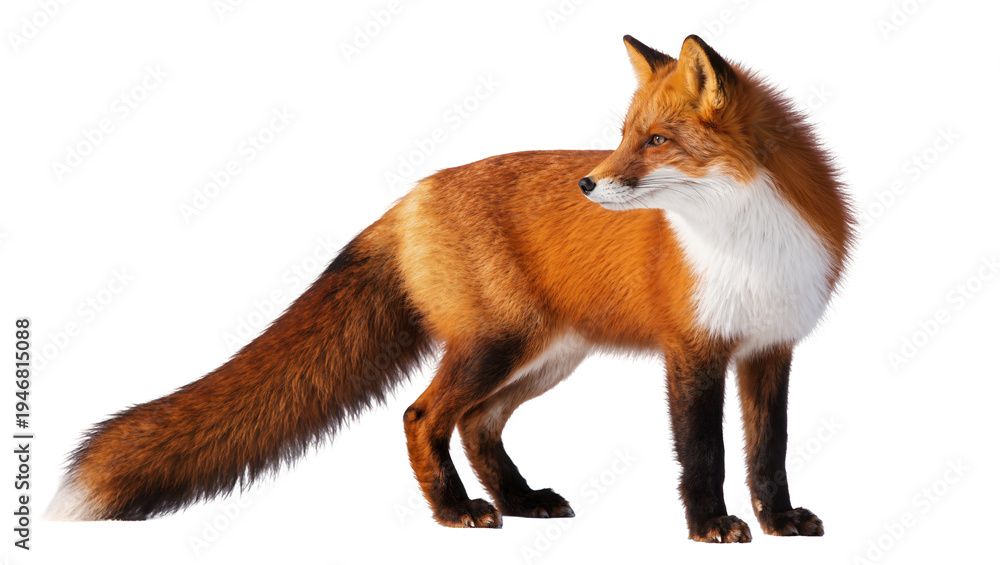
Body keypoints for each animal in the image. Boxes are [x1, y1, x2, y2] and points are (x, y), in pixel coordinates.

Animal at [47, 34, 853, 543]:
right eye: (624, 134)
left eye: (656, 141)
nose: (587, 184)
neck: (747, 241)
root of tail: (412, 196)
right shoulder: (691, 348)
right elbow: (704, 453)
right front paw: (709, 527)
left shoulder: (770, 347)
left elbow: (769, 450)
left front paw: (780, 523)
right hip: (499, 345)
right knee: (422, 416)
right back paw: (457, 512)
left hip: (542, 356)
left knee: (477, 423)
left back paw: (518, 501)